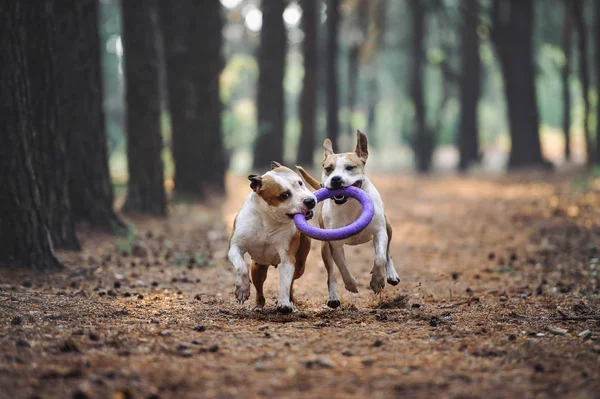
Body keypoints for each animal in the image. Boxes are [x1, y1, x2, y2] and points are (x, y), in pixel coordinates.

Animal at [227, 161, 316, 314]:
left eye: (300, 182)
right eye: (284, 195)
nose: (310, 201)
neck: (268, 220)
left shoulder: (288, 257)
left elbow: (285, 282)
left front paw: (284, 303)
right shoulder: (235, 247)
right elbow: (241, 266)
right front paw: (242, 290)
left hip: (299, 266)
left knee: (292, 282)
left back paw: (290, 302)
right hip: (258, 268)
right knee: (259, 286)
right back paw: (258, 305)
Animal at [298, 131, 400, 310]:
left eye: (350, 167)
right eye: (328, 169)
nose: (336, 179)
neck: (350, 204)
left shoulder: (379, 232)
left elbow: (380, 258)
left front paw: (377, 281)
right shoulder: (335, 243)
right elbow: (342, 266)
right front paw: (351, 284)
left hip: (388, 227)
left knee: (387, 252)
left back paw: (391, 274)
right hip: (324, 247)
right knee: (331, 273)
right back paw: (333, 298)